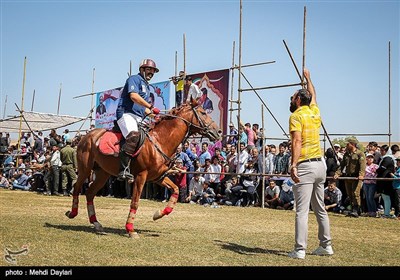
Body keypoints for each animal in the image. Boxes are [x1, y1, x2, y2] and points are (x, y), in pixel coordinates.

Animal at [67, 99, 220, 237]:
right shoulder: (141, 176)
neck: (160, 141)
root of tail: (86, 136)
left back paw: (96, 223)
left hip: (103, 173)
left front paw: (158, 214)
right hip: (85, 169)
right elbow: (135, 202)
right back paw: (72, 213)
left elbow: (176, 190)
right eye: (203, 113)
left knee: (90, 193)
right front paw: (130, 229)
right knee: (77, 188)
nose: (218, 131)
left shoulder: (158, 177)